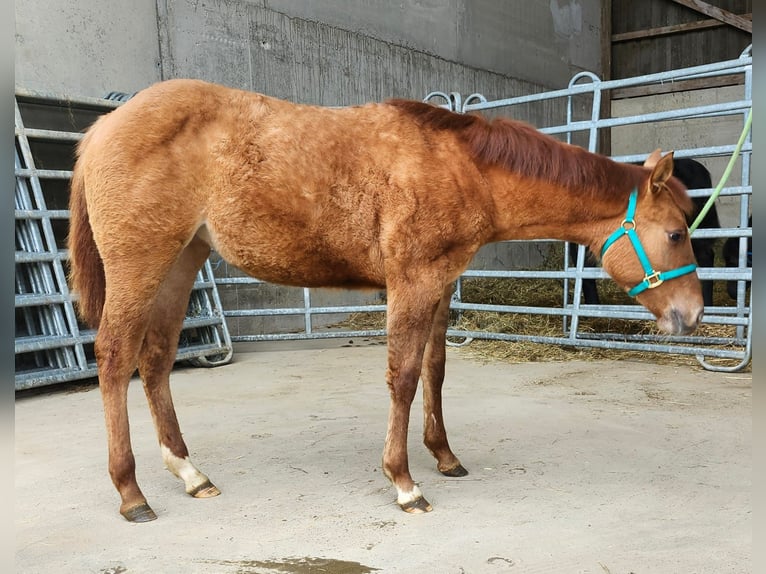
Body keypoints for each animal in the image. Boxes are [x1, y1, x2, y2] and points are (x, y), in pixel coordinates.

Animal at [67, 78, 703, 522]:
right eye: (676, 233)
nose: (693, 315)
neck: (464, 170)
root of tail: (102, 129)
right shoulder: (412, 282)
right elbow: (403, 377)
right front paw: (404, 483)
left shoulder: (440, 286)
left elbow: (434, 371)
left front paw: (444, 457)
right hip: (140, 265)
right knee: (115, 357)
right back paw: (132, 492)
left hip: (181, 263)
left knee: (155, 359)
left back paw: (189, 472)